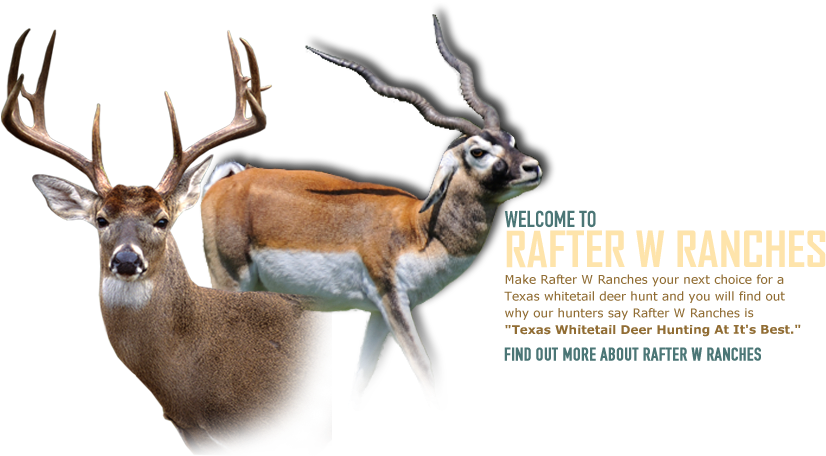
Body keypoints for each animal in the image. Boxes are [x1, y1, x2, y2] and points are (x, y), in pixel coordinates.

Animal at [199, 15, 541, 418]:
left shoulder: (379, 311)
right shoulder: (392, 297)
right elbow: (424, 369)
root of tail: (226, 182)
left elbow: (360, 380)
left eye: (510, 140)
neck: (418, 229)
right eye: (477, 151)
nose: (532, 168)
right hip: (230, 281)